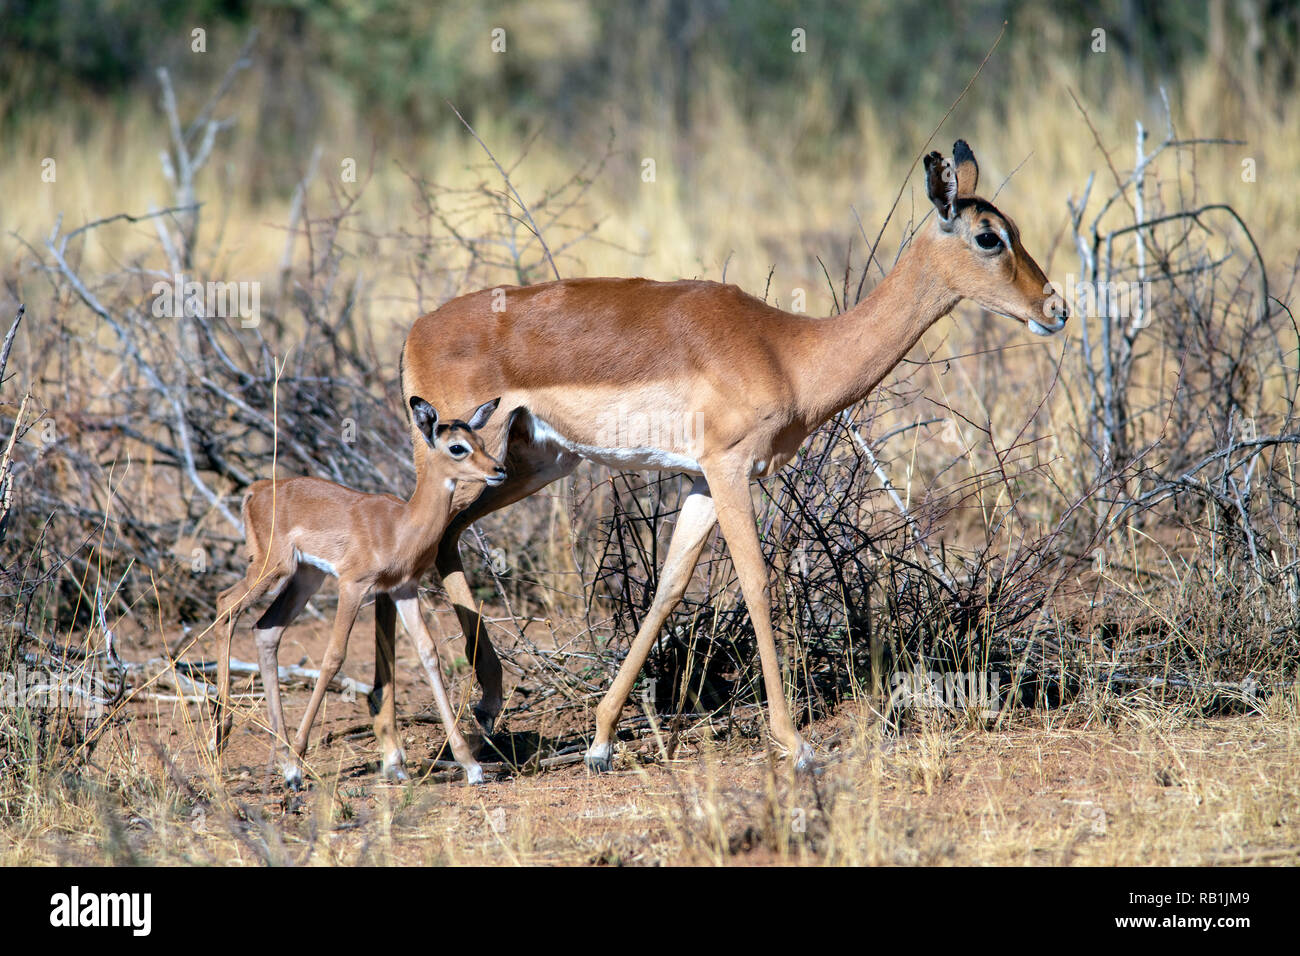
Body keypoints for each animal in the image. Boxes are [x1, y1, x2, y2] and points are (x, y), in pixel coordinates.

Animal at [211, 395, 506, 788]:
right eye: (457, 447)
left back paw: (277, 752)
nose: (499, 470)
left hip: (304, 578)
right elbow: (334, 657)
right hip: (270, 569)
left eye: (482, 441)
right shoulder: (353, 586)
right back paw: (225, 738)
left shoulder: (403, 590)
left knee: (265, 630)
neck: (401, 526)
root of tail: (255, 489)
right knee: (225, 604)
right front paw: (297, 766)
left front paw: (470, 765)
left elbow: (429, 654)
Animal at [400, 140, 1068, 772]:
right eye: (989, 236)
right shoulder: (729, 469)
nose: (1056, 309)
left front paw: (602, 740)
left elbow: (670, 585)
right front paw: (795, 743)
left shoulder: (700, 480)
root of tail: (416, 330)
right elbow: (754, 581)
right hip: (462, 465)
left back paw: (488, 706)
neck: (788, 351)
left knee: (449, 538)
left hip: (534, 464)